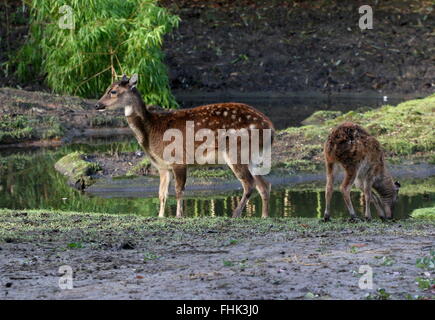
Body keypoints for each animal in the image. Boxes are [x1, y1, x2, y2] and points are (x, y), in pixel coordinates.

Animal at [96, 75, 274, 218]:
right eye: (106, 88)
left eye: (113, 91)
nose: (97, 105)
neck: (151, 131)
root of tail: (270, 127)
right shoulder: (162, 166)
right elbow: (162, 193)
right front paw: (161, 216)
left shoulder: (178, 158)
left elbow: (178, 190)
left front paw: (179, 215)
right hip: (251, 156)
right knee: (264, 185)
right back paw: (264, 216)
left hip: (237, 150)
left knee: (249, 183)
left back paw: (235, 214)